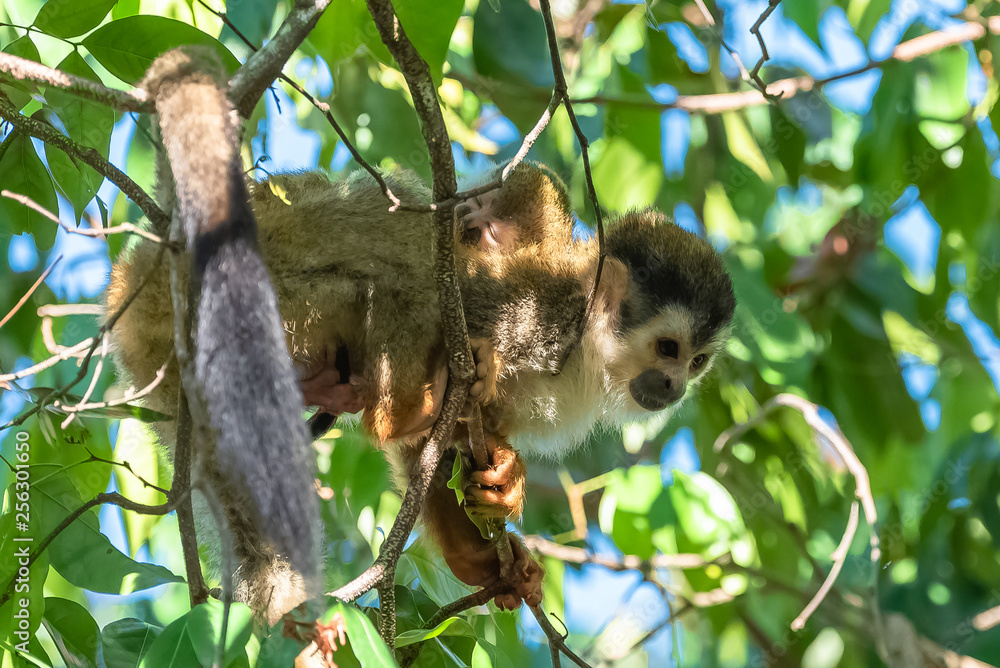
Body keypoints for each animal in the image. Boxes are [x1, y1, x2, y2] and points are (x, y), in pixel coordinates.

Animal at [108, 49, 736, 625]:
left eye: (698, 361)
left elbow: (430, 457)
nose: (674, 387)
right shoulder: (540, 314)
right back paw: (402, 409)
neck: (586, 352)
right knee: (402, 253)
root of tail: (139, 273)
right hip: (266, 266)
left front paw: (492, 538)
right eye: (668, 348)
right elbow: (446, 293)